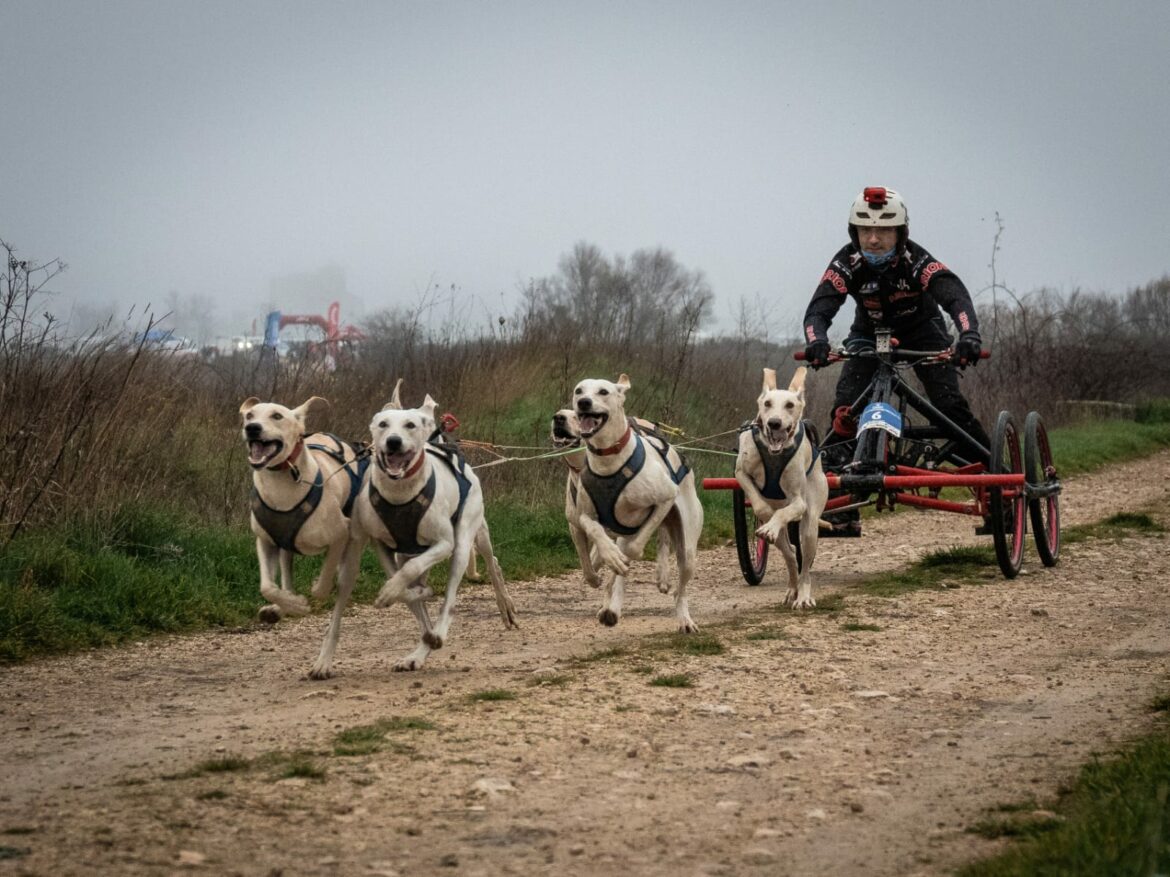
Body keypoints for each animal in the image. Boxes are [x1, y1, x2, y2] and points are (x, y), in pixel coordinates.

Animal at [237, 395, 365, 626]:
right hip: (284, 547)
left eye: (277, 416)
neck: (280, 484)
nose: (252, 428)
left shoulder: (340, 533)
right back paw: (280, 607)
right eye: (250, 415)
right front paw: (294, 604)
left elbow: (324, 581)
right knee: (286, 577)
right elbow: (267, 587)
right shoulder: (265, 541)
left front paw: (316, 588)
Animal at [320, 383, 521, 678]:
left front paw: (397, 593)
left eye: (410, 424)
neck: (400, 493)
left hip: (463, 541)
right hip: (410, 551)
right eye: (383, 424)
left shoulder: (443, 544)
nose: (393, 441)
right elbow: (407, 590)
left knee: (459, 591)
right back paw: (417, 653)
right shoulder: (384, 547)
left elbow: (411, 575)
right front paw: (405, 593)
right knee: (422, 602)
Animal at [568, 376, 697, 631]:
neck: (609, 461)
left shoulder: (665, 497)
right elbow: (595, 529)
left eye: (603, 392)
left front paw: (619, 557)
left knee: (681, 590)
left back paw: (685, 619)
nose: (584, 402)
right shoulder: (584, 514)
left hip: (687, 549)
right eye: (579, 390)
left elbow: (634, 549)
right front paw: (608, 555)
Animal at [734, 367, 828, 608]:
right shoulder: (741, 473)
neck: (773, 452)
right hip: (784, 541)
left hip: (810, 527)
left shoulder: (799, 502)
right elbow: (759, 505)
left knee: (805, 566)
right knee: (790, 556)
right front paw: (767, 518)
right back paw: (792, 588)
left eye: (790, 405)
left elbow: (787, 510)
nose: (774, 423)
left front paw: (771, 523)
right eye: (767, 403)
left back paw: (803, 595)